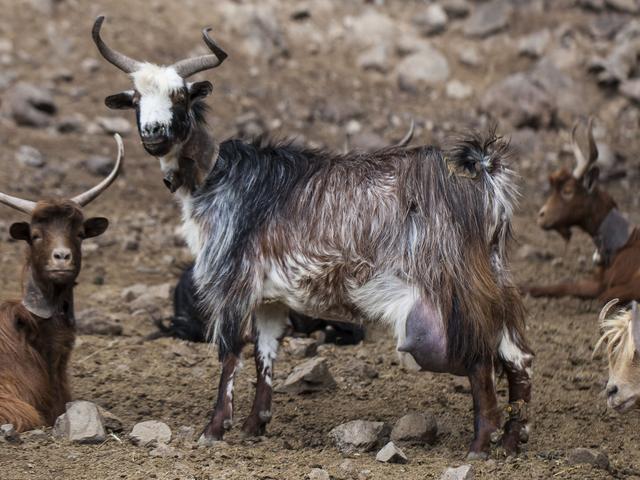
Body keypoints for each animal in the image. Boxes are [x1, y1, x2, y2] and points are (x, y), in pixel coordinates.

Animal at [93, 17, 533, 458]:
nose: (153, 133)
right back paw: (512, 442)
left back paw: (480, 444)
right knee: (517, 355)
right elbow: (265, 353)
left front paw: (214, 429)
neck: (217, 173)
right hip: (495, 283)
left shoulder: (233, 284)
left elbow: (230, 352)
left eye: (180, 96)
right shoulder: (269, 297)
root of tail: (485, 175)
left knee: (479, 355)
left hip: (453, 291)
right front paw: (255, 424)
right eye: (136, 99)